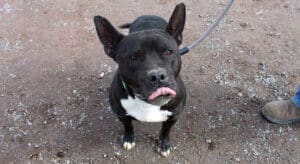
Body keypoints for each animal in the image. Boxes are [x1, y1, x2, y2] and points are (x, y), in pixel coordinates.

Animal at [94, 2, 186, 158]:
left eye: (168, 52)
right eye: (132, 58)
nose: (157, 76)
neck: (146, 103)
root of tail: (147, 15)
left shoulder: (173, 116)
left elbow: (165, 131)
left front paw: (164, 145)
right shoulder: (122, 115)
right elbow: (128, 126)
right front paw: (128, 139)